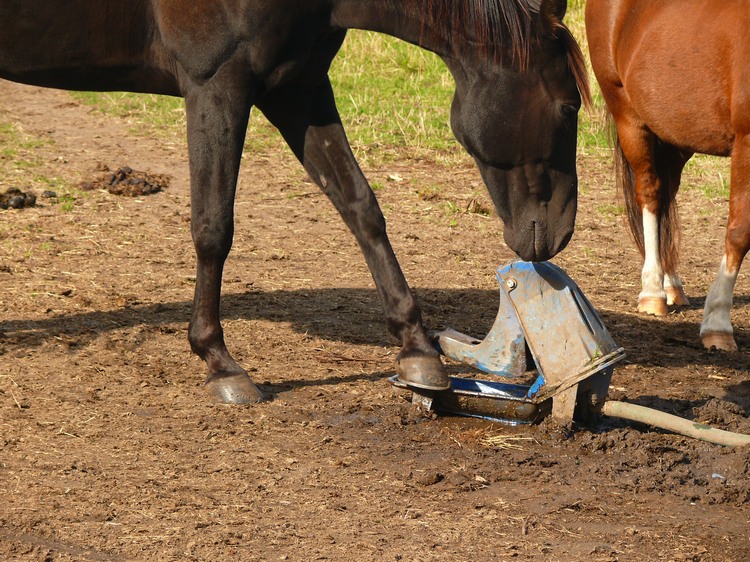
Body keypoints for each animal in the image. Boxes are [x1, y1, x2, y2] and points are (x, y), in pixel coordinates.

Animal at [1, 0, 592, 402]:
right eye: (568, 107)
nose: (560, 231)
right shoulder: (217, 87)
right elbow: (213, 228)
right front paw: (219, 361)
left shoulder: (298, 87)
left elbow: (361, 208)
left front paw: (417, 349)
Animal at [588, 0, 750, 350]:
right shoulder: (747, 142)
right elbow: (740, 231)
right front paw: (717, 323)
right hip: (628, 115)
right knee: (650, 193)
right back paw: (653, 291)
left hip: (675, 134)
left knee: (666, 195)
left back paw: (670, 283)